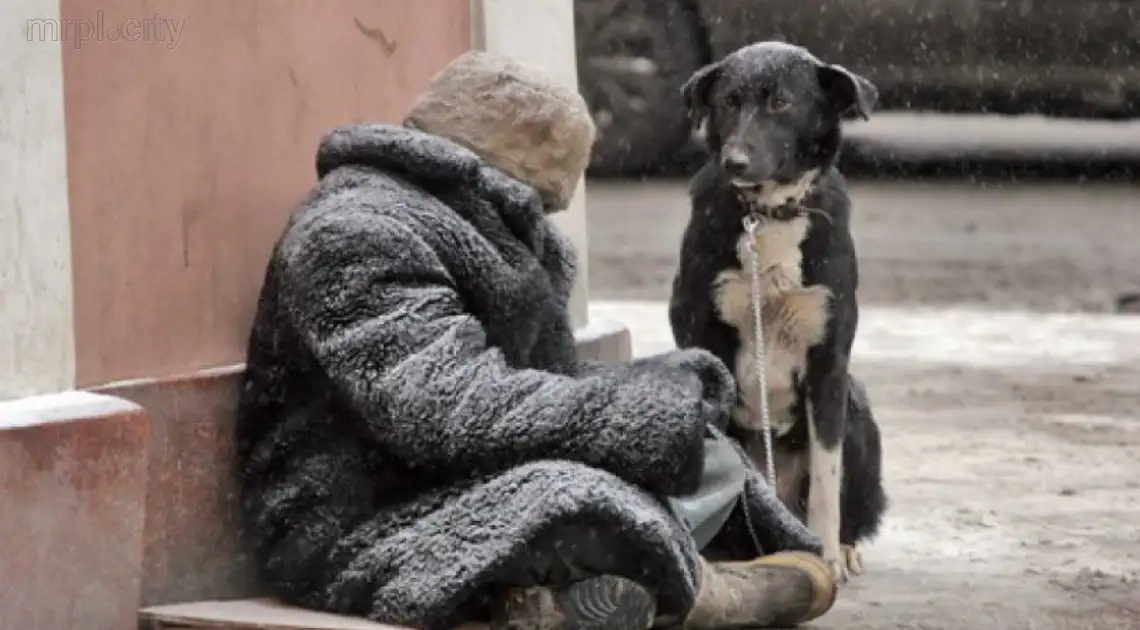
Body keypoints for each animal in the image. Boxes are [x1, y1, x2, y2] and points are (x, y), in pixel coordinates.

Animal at [665, 41, 889, 583]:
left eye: (781, 103)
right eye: (729, 101)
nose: (735, 161)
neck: (767, 215)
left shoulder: (829, 359)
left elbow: (828, 477)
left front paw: (826, 554)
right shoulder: (702, 336)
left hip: (856, 405)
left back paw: (843, 545)